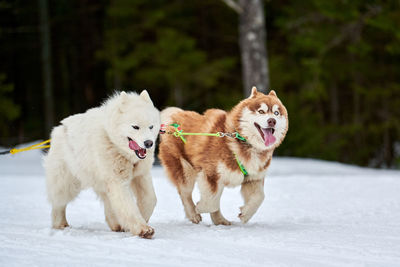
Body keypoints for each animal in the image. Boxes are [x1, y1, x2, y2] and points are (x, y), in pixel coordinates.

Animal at [44, 91, 161, 240]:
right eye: (135, 127)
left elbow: (150, 199)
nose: (149, 143)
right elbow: (128, 207)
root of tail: (59, 128)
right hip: (67, 183)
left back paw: (116, 224)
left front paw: (141, 220)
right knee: (58, 203)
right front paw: (142, 228)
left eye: (151, 127)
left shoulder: (140, 175)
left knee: (108, 203)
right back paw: (60, 224)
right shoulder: (117, 181)